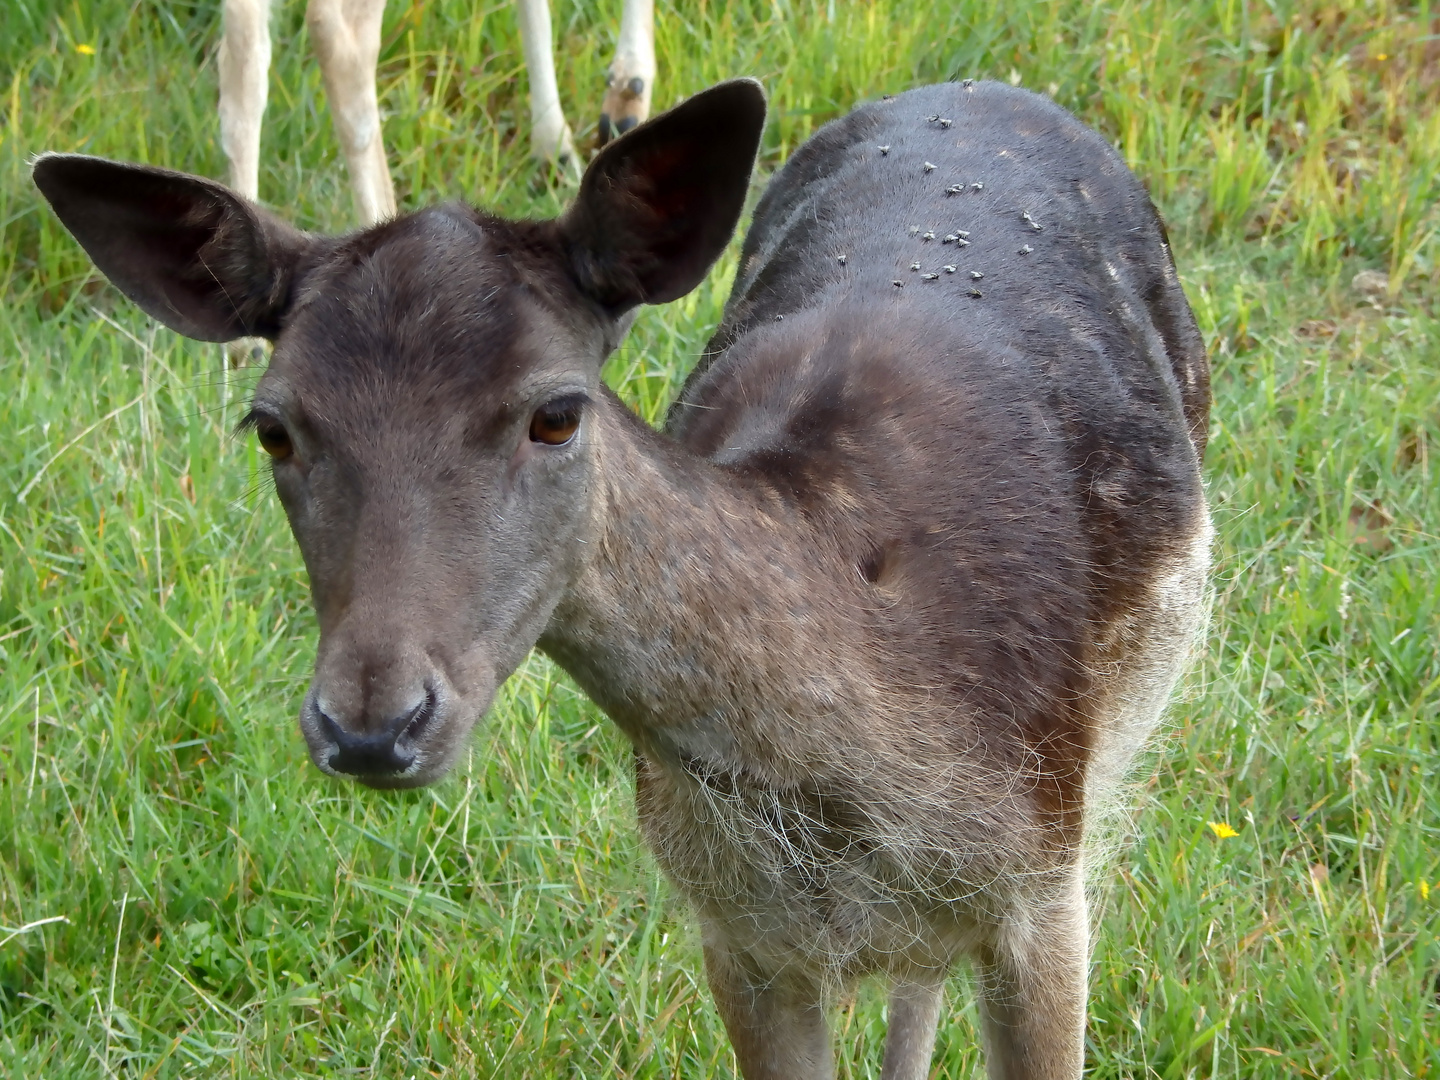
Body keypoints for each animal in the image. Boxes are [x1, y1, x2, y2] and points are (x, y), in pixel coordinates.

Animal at [33, 78, 1209, 1080]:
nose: (372, 724)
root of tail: (978, 85)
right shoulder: (734, 928)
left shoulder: (1046, 886)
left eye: (557, 412)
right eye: (272, 428)